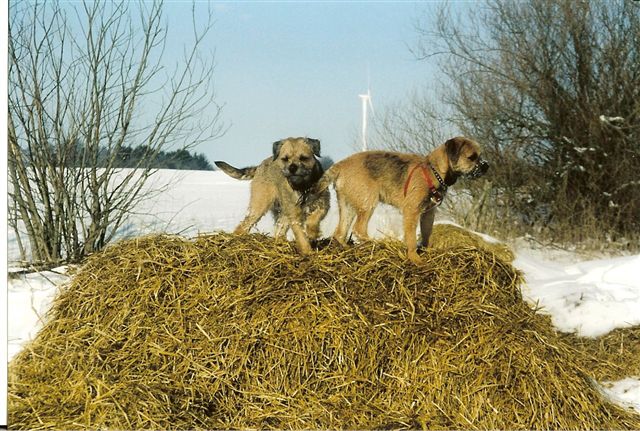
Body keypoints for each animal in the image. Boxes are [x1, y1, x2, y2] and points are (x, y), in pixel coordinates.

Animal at [310, 137, 490, 264]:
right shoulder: (412, 212)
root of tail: (342, 164)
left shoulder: (428, 214)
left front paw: (426, 250)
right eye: (472, 157)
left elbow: (426, 234)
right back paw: (379, 243)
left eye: (480, 155)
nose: (486, 165)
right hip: (368, 202)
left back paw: (348, 248)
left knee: (340, 233)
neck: (433, 170)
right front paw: (415, 258)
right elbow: (410, 238)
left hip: (347, 205)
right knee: (359, 229)